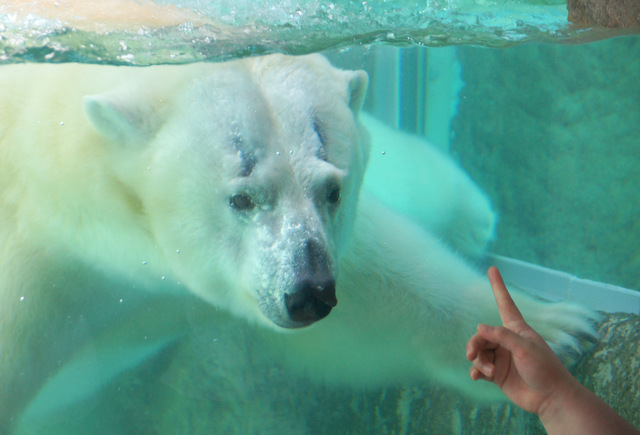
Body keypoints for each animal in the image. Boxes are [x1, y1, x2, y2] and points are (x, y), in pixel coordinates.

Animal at [0, 52, 596, 430]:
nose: (309, 293)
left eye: (332, 189)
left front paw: (546, 333)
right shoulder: (46, 262)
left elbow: (383, 296)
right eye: (242, 198)